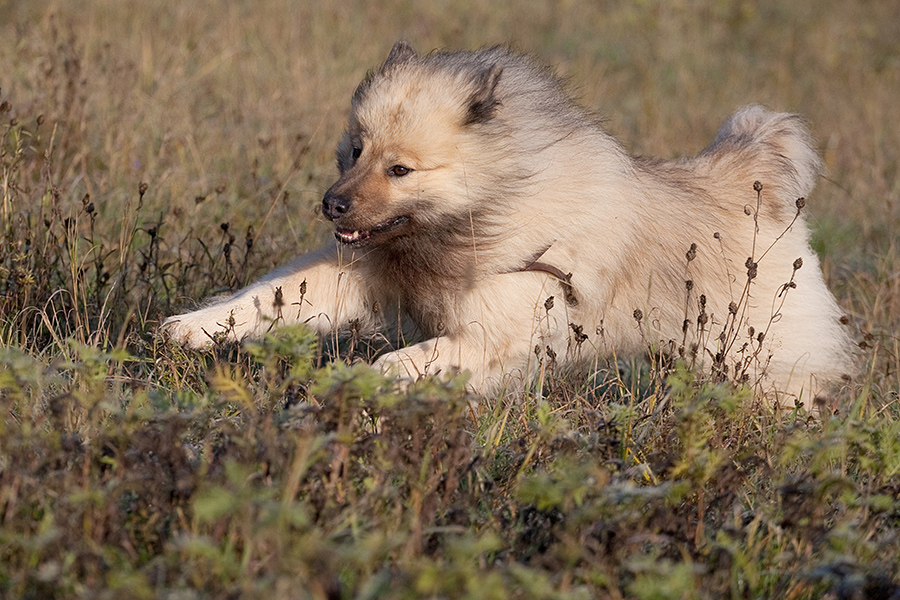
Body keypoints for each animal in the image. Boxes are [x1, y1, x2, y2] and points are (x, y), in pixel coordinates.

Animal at [163, 42, 852, 404]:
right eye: (355, 150)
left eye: (399, 169)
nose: (332, 205)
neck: (487, 207)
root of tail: (753, 178)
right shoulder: (364, 273)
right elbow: (269, 297)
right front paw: (195, 328)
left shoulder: (493, 332)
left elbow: (409, 360)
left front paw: (374, 379)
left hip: (760, 364)